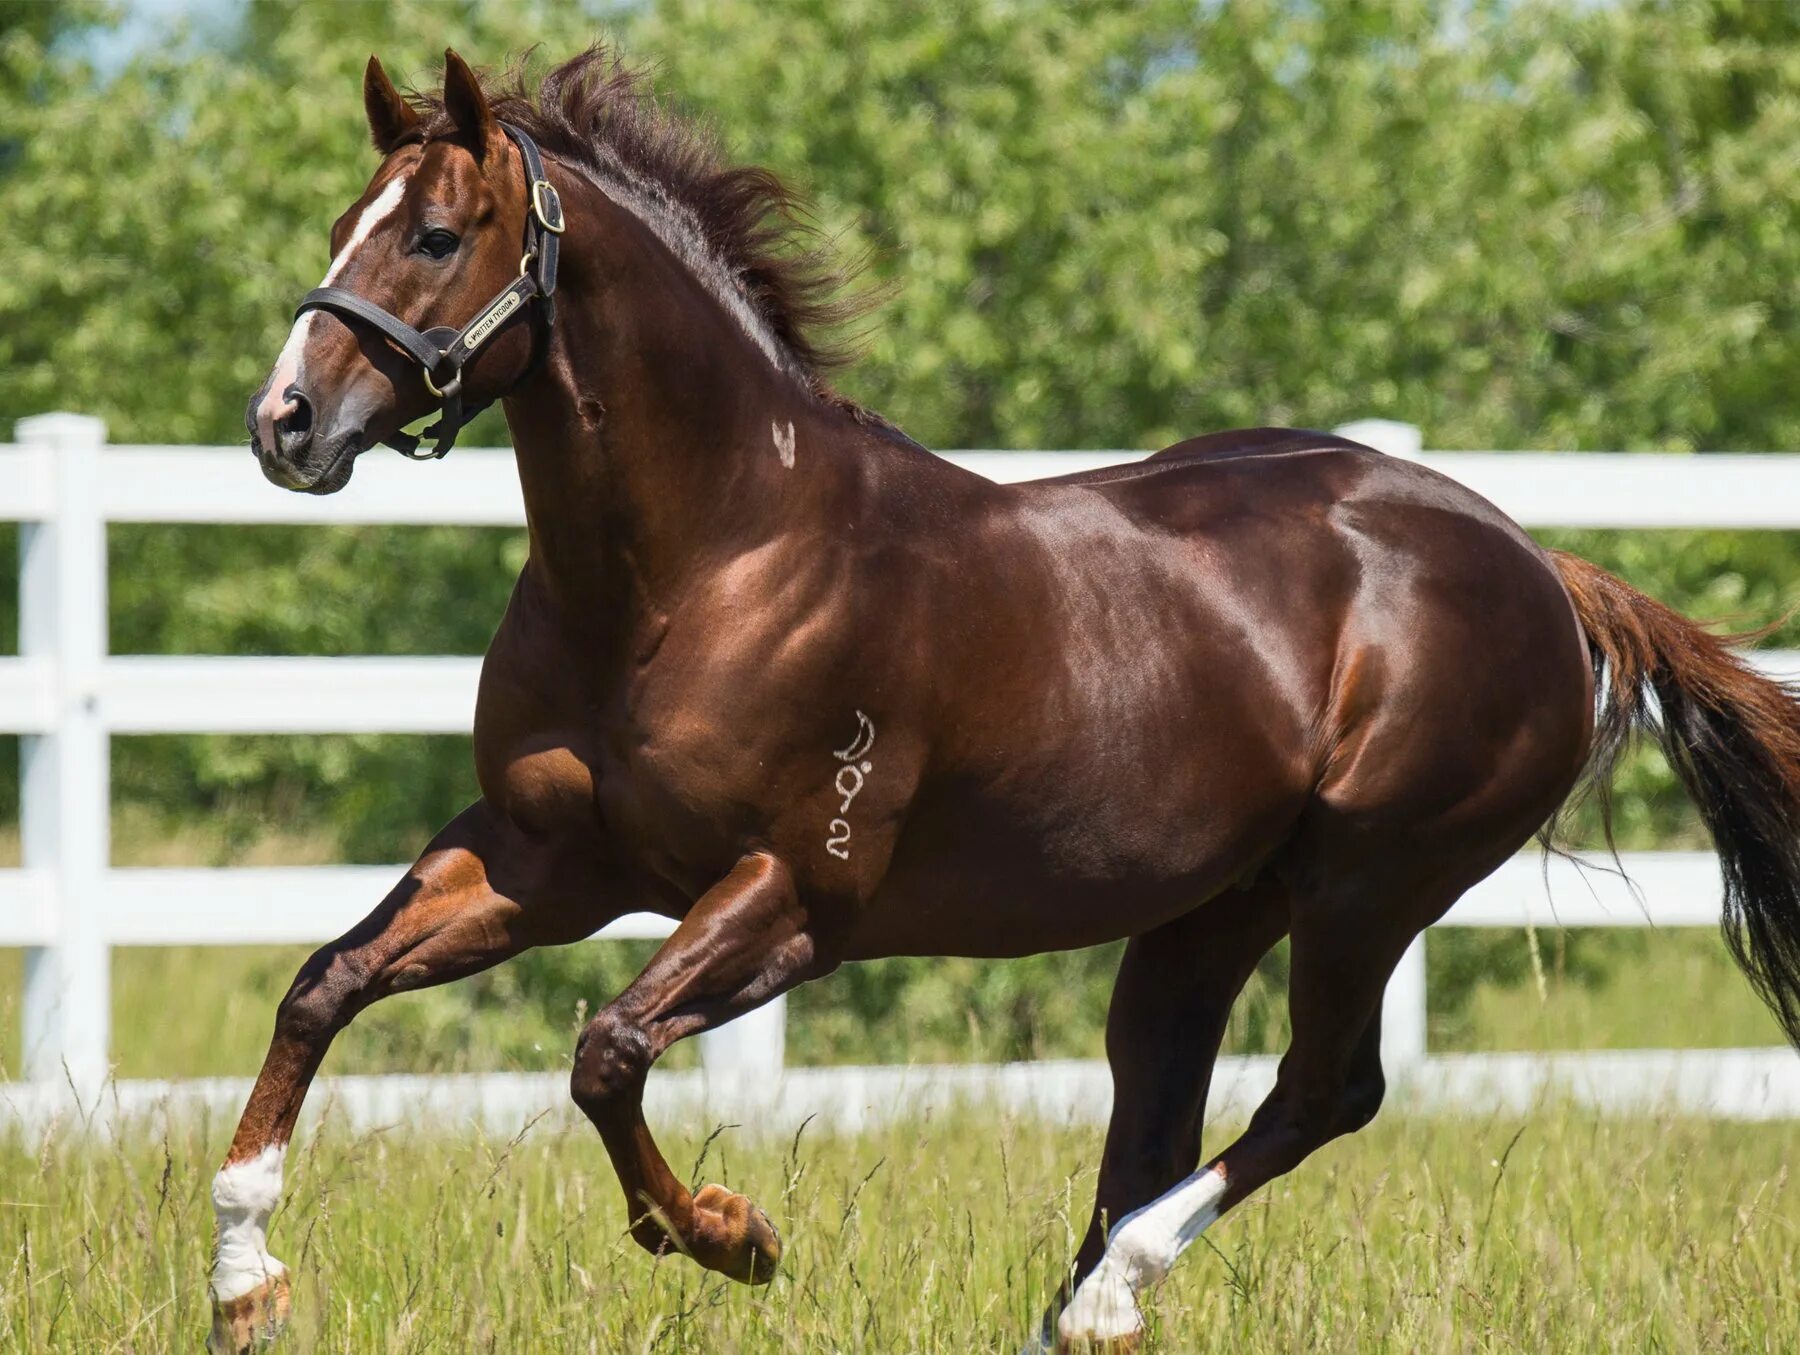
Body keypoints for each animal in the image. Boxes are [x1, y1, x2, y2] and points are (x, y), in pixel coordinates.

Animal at [221, 44, 1800, 1353]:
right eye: (341, 225)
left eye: (437, 233)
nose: (284, 425)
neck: (708, 561)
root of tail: (1542, 566)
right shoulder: (546, 860)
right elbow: (325, 983)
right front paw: (245, 1279)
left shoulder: (796, 893)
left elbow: (606, 1052)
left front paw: (733, 1234)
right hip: (1208, 909)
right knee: (1156, 1100)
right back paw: (1081, 1310)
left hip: (1370, 882)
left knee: (1322, 1090)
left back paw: (1105, 1298)